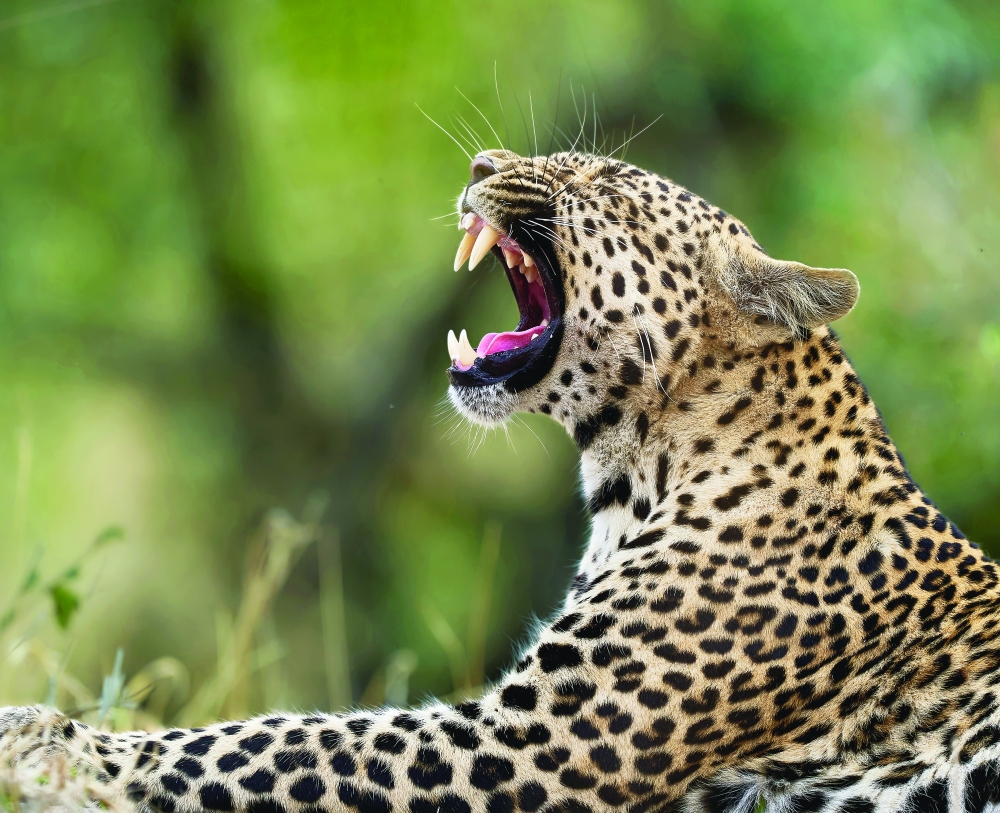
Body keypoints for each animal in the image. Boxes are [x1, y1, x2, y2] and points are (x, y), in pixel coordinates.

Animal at [4, 147, 1000, 813]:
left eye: (602, 181)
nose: (482, 161)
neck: (634, 471)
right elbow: (283, 732)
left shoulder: (534, 738)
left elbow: (271, 739)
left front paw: (50, 739)